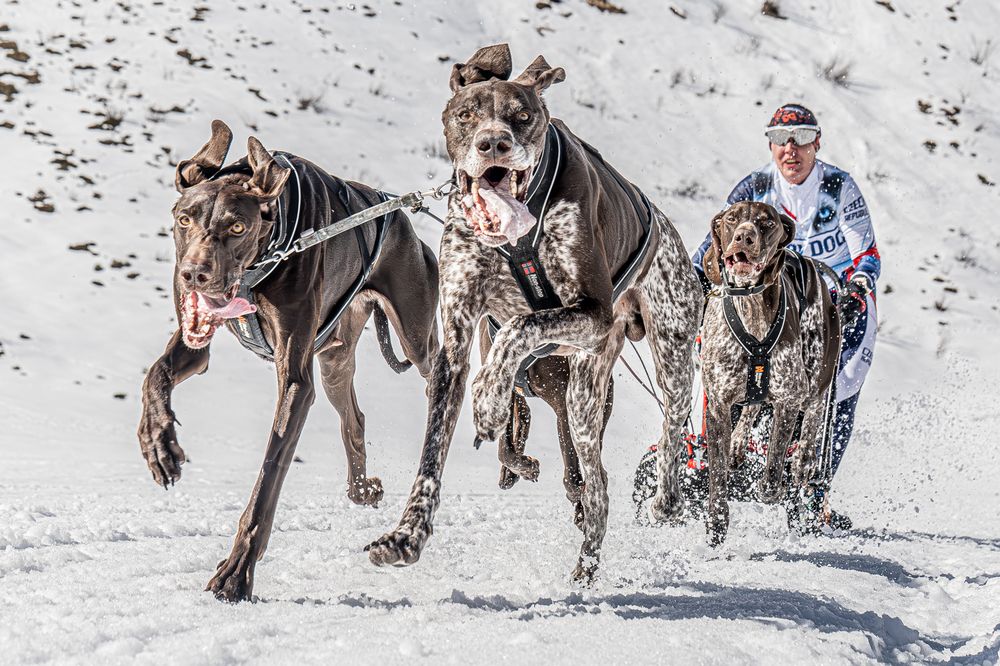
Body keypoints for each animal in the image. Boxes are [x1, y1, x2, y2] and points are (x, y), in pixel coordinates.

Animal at [137, 120, 440, 601]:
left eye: (237, 226)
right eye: (184, 219)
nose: (194, 274)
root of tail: (402, 217)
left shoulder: (295, 382)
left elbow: (270, 473)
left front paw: (237, 573)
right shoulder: (195, 342)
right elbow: (156, 375)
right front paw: (159, 445)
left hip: (416, 332)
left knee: (440, 369)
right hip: (336, 358)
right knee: (353, 419)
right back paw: (363, 489)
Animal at [365, 44, 702, 581]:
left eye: (521, 116)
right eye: (466, 114)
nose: (493, 145)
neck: (515, 241)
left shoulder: (591, 311)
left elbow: (520, 328)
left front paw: (489, 399)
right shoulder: (456, 337)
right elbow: (433, 450)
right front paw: (405, 535)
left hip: (667, 349)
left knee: (672, 423)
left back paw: (666, 500)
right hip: (584, 395)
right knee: (597, 485)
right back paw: (586, 565)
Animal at [699, 201, 841, 545]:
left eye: (767, 223)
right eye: (732, 219)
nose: (744, 237)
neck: (751, 308)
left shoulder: (789, 398)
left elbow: (775, 461)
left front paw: (772, 487)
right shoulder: (718, 404)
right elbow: (717, 473)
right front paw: (716, 522)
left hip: (818, 377)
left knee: (813, 419)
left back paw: (803, 464)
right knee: (752, 406)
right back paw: (738, 443)